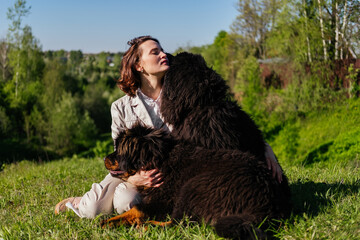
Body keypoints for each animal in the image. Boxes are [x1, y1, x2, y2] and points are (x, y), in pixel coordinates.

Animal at [102, 124, 292, 240]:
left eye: (118, 150)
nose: (105, 158)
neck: (160, 160)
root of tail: (266, 202)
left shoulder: (162, 199)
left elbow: (136, 210)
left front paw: (107, 222)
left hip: (192, 188)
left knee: (179, 224)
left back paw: (146, 226)